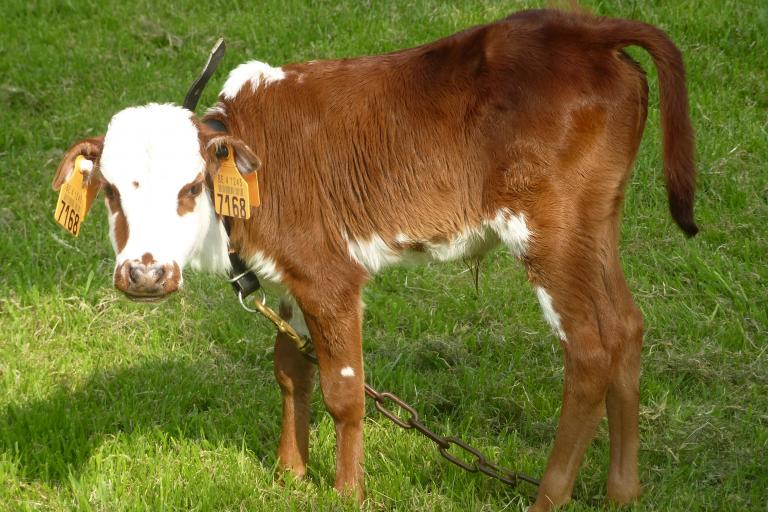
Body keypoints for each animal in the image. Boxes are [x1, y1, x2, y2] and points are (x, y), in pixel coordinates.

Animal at [54, 10, 696, 510]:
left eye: (190, 187)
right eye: (111, 191)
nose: (144, 273)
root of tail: (586, 30)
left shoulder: (329, 276)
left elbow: (344, 389)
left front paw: (346, 493)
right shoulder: (289, 274)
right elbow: (291, 365)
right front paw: (289, 476)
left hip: (551, 232)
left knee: (590, 349)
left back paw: (549, 496)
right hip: (595, 223)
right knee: (626, 327)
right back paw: (623, 491)